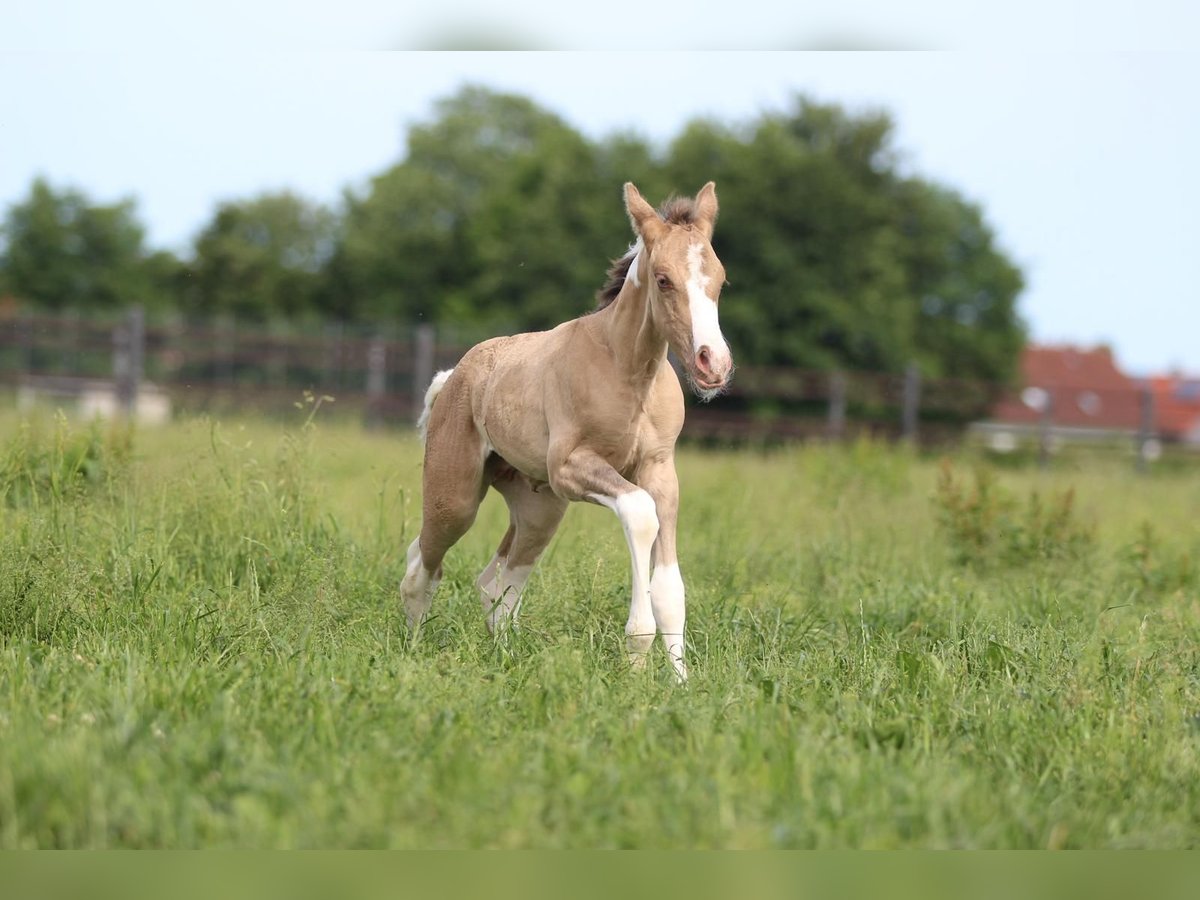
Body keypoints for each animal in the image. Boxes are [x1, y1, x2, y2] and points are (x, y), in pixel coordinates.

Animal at [401, 182, 734, 680]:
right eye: (663, 279)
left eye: (720, 279)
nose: (713, 364)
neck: (625, 369)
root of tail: (454, 376)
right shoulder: (572, 468)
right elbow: (639, 514)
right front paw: (636, 661)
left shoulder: (660, 471)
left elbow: (671, 590)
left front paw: (680, 683)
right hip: (455, 498)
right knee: (422, 566)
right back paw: (411, 649)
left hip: (539, 509)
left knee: (496, 584)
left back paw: (507, 660)